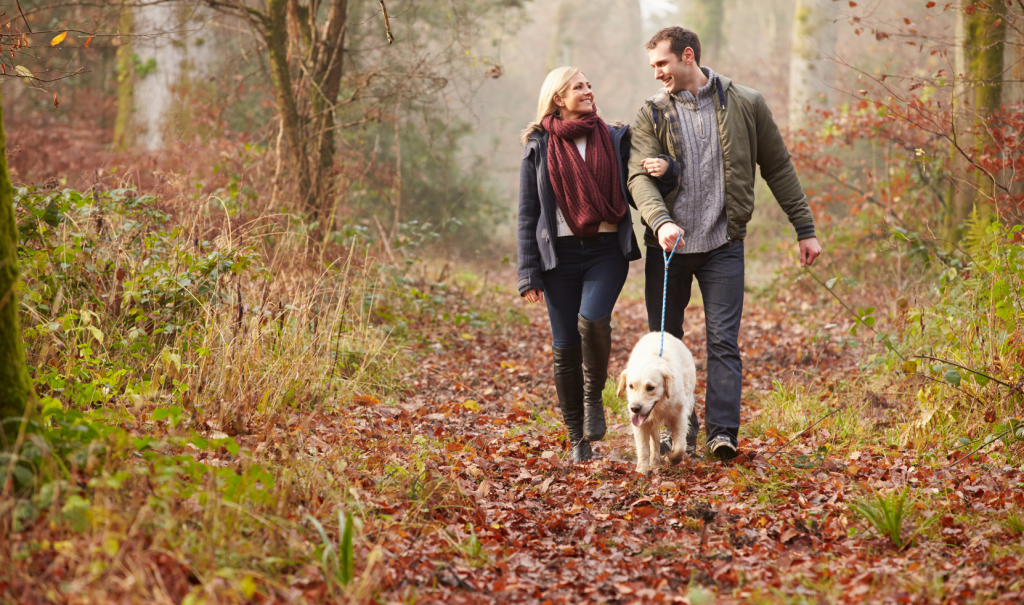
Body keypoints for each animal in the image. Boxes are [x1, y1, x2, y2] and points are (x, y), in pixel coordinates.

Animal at [614, 333, 696, 474]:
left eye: (650, 387)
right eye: (631, 386)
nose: (635, 408)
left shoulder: (680, 415)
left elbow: (680, 448)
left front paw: (671, 459)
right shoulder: (639, 423)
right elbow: (642, 448)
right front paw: (642, 471)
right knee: (655, 439)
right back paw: (654, 462)